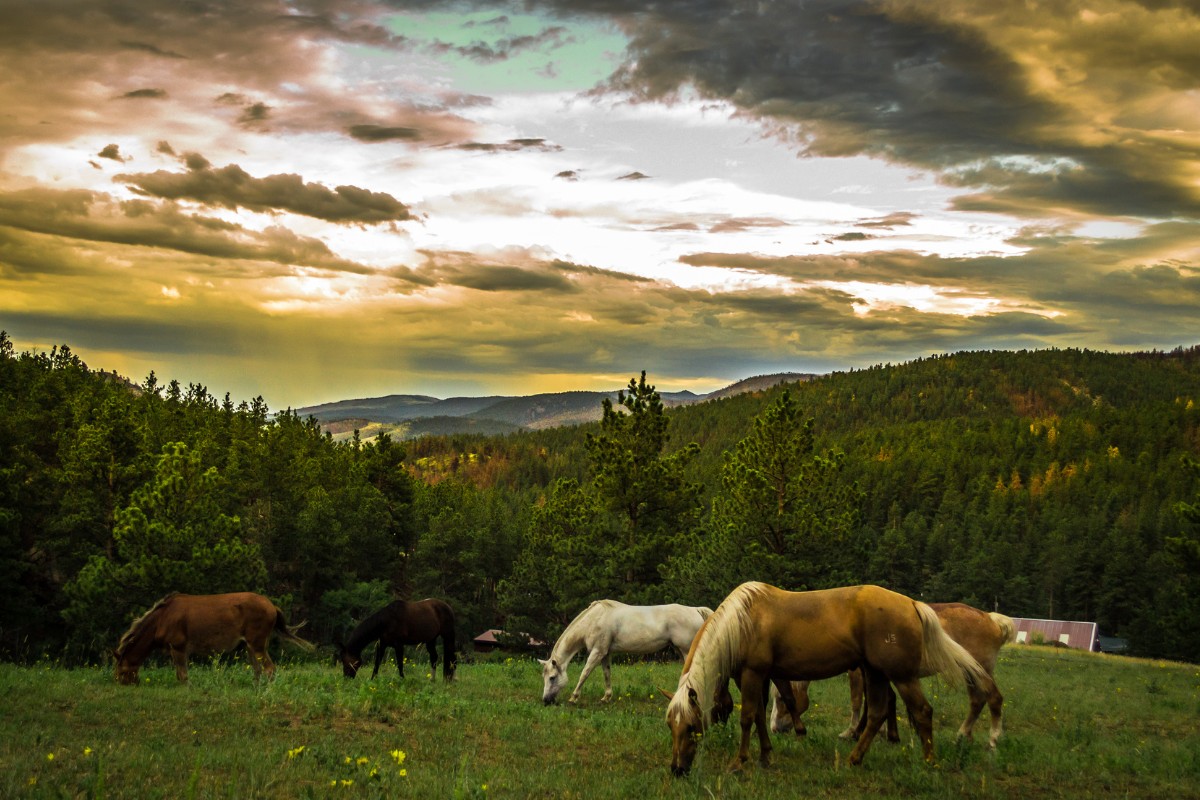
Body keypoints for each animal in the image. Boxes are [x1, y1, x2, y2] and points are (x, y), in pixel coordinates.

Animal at [113, 592, 314, 685]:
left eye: (121, 672)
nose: (128, 684)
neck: (159, 622)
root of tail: (273, 607)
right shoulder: (175, 649)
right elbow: (180, 674)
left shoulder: (178, 646)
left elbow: (183, 675)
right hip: (250, 645)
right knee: (258, 670)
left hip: (257, 643)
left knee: (270, 668)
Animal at [540, 600, 712, 705]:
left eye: (552, 677)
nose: (546, 700)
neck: (595, 619)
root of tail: (695, 610)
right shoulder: (605, 654)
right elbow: (607, 674)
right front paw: (606, 697)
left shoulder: (597, 652)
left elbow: (585, 673)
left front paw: (573, 697)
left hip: (686, 650)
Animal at [664, 582, 991, 775]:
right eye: (670, 725)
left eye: (691, 726)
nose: (677, 769)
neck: (742, 622)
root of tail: (912, 604)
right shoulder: (763, 676)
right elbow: (758, 717)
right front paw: (766, 756)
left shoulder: (753, 674)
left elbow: (747, 719)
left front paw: (739, 762)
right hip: (875, 672)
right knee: (877, 714)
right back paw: (854, 759)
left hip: (901, 675)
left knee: (922, 712)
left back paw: (929, 762)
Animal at [769, 602, 1017, 747]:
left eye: (781, 699)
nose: (775, 729)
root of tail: (992, 619)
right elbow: (885, 700)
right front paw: (885, 734)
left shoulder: (857, 673)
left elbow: (858, 702)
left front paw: (852, 732)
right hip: (970, 673)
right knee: (977, 701)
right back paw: (963, 735)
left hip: (979, 671)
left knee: (994, 698)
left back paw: (993, 738)